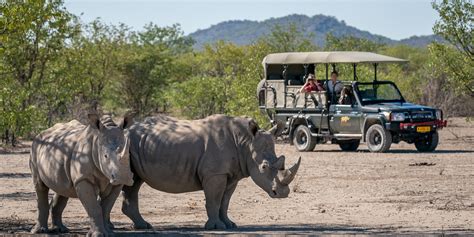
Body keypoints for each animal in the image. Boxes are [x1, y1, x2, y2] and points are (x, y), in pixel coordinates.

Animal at [122, 115, 300, 230]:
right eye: (263, 167)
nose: (283, 193)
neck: (245, 143)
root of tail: (125, 130)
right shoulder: (215, 174)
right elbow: (214, 200)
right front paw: (216, 227)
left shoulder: (231, 175)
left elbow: (225, 202)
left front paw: (230, 225)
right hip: (127, 145)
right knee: (131, 182)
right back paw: (141, 225)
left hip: (137, 146)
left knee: (135, 182)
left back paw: (142, 226)